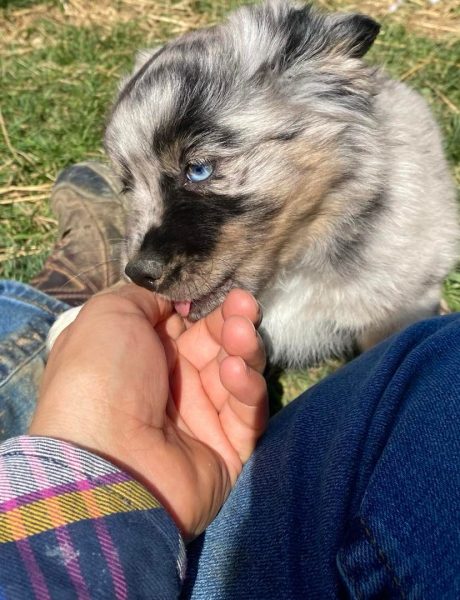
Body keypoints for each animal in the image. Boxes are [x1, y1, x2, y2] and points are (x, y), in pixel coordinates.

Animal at [48, 1, 458, 366]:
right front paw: (76, 317)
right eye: (127, 185)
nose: (139, 274)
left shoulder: (396, 311)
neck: (293, 267)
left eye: (198, 169)